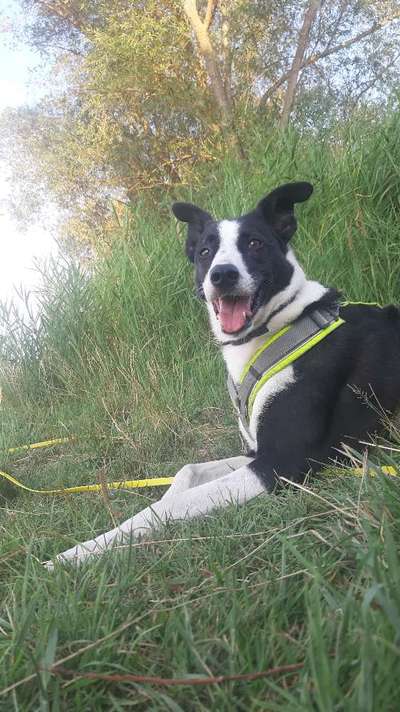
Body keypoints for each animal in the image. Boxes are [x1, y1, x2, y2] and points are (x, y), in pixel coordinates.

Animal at [47, 182, 400, 568]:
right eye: (205, 251)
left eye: (255, 243)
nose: (222, 274)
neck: (282, 325)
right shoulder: (256, 451)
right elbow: (186, 473)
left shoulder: (281, 462)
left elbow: (173, 505)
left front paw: (75, 554)